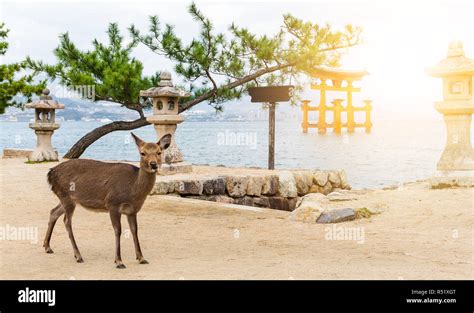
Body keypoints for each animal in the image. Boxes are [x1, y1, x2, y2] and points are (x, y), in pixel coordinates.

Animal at [43, 132, 171, 268]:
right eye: (142, 153)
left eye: (159, 152)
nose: (153, 164)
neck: (133, 190)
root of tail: (50, 173)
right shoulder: (112, 204)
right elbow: (118, 230)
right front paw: (119, 261)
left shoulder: (132, 210)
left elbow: (134, 230)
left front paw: (141, 258)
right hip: (66, 197)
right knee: (67, 221)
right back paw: (78, 255)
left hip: (67, 199)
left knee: (53, 212)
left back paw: (47, 247)